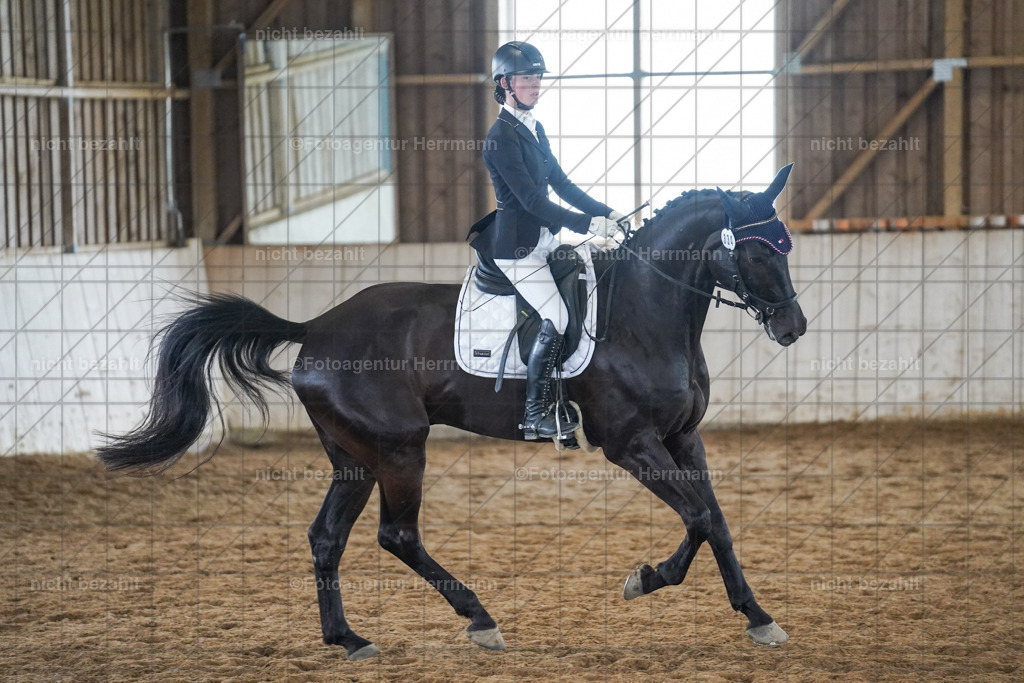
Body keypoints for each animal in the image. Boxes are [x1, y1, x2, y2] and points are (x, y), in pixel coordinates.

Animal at [97, 165, 807, 661]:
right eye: (757, 252)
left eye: (786, 247)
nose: (794, 328)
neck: (646, 312)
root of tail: (318, 328)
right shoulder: (631, 444)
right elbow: (696, 517)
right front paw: (647, 578)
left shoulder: (684, 438)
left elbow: (716, 521)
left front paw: (757, 616)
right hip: (400, 447)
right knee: (397, 535)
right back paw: (480, 620)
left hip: (355, 456)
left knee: (328, 537)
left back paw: (349, 639)